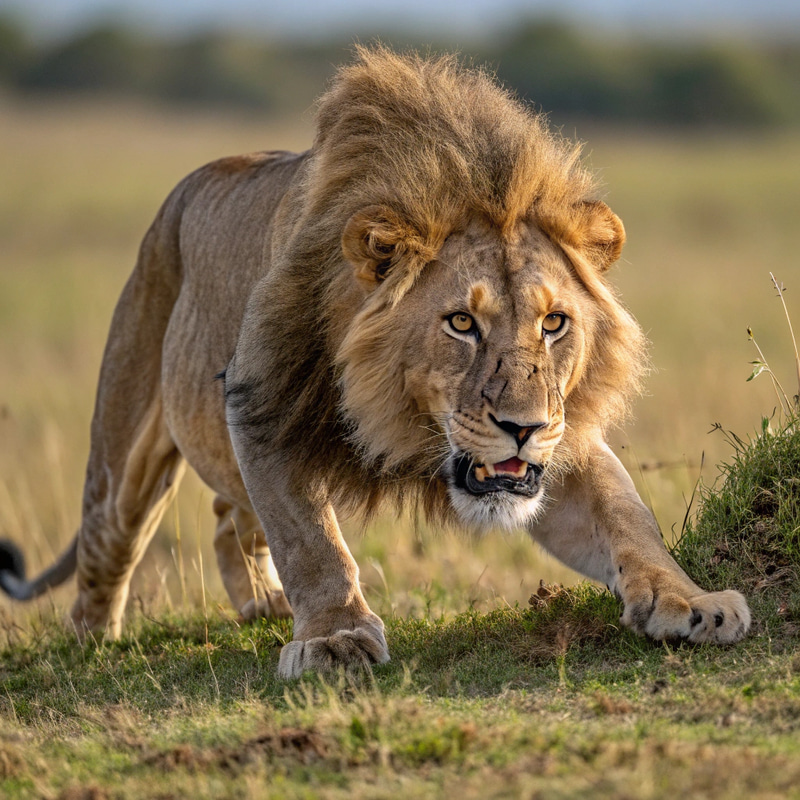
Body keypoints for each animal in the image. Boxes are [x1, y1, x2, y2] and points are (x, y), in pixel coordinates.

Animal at [0, 47, 750, 676]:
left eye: (554, 323)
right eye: (461, 323)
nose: (524, 427)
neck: (408, 420)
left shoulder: (560, 444)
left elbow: (627, 516)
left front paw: (693, 600)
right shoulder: (260, 399)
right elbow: (311, 539)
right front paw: (335, 636)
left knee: (227, 518)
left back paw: (264, 602)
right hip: (127, 441)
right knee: (110, 538)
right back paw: (94, 636)